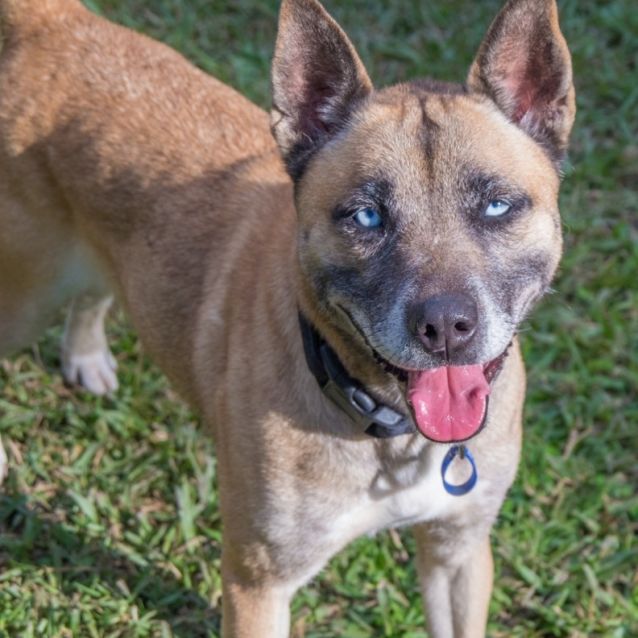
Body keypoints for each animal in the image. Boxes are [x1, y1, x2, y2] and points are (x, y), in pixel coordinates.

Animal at [0, 0, 576, 636]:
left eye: (497, 206)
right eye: (367, 216)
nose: (446, 327)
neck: (394, 435)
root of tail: (58, 22)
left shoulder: (458, 553)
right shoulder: (258, 582)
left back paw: (85, 354)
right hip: (24, 295)